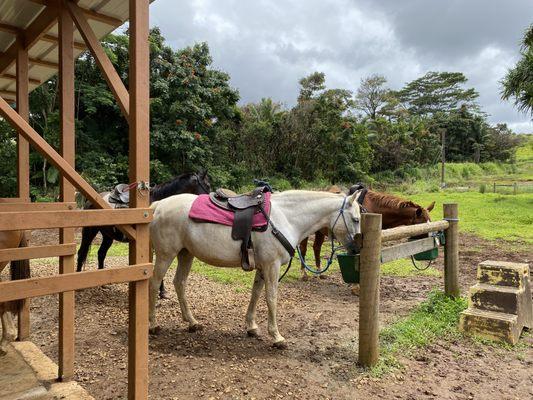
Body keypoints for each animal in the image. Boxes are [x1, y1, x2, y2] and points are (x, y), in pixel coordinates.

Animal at [77, 170, 210, 298]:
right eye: (207, 185)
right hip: (89, 232)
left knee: (101, 253)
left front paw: (162, 291)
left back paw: (103, 283)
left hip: (108, 236)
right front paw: (160, 291)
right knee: (82, 252)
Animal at [149, 190, 362, 346]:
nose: (356, 249)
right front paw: (276, 336)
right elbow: (271, 298)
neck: (286, 218)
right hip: (166, 255)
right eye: (356, 219)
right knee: (154, 284)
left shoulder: (262, 267)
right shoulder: (271, 266)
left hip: (186, 254)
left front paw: (251, 326)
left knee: (179, 283)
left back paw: (192, 322)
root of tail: (158, 205)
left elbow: (256, 294)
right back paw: (152, 325)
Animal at [298, 186, 434, 280]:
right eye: (422, 224)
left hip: (319, 232)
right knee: (304, 248)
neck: (373, 209)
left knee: (316, 248)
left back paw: (319, 273)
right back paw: (304, 274)